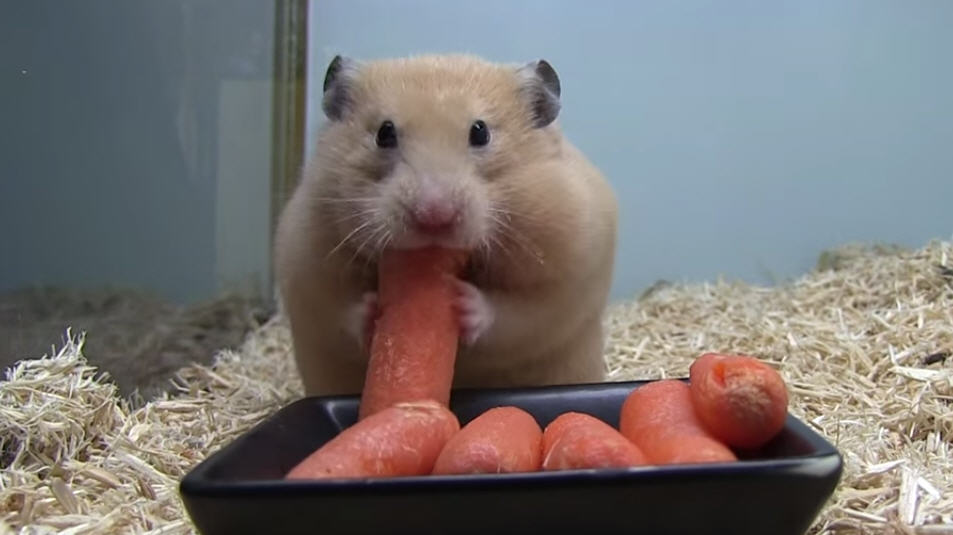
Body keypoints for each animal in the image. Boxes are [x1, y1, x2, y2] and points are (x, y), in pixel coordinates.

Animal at [274, 54, 618, 396]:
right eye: (384, 133)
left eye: (480, 132)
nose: (434, 215)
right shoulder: (307, 265)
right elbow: (339, 307)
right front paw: (373, 308)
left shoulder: (566, 273)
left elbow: (519, 313)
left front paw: (459, 300)